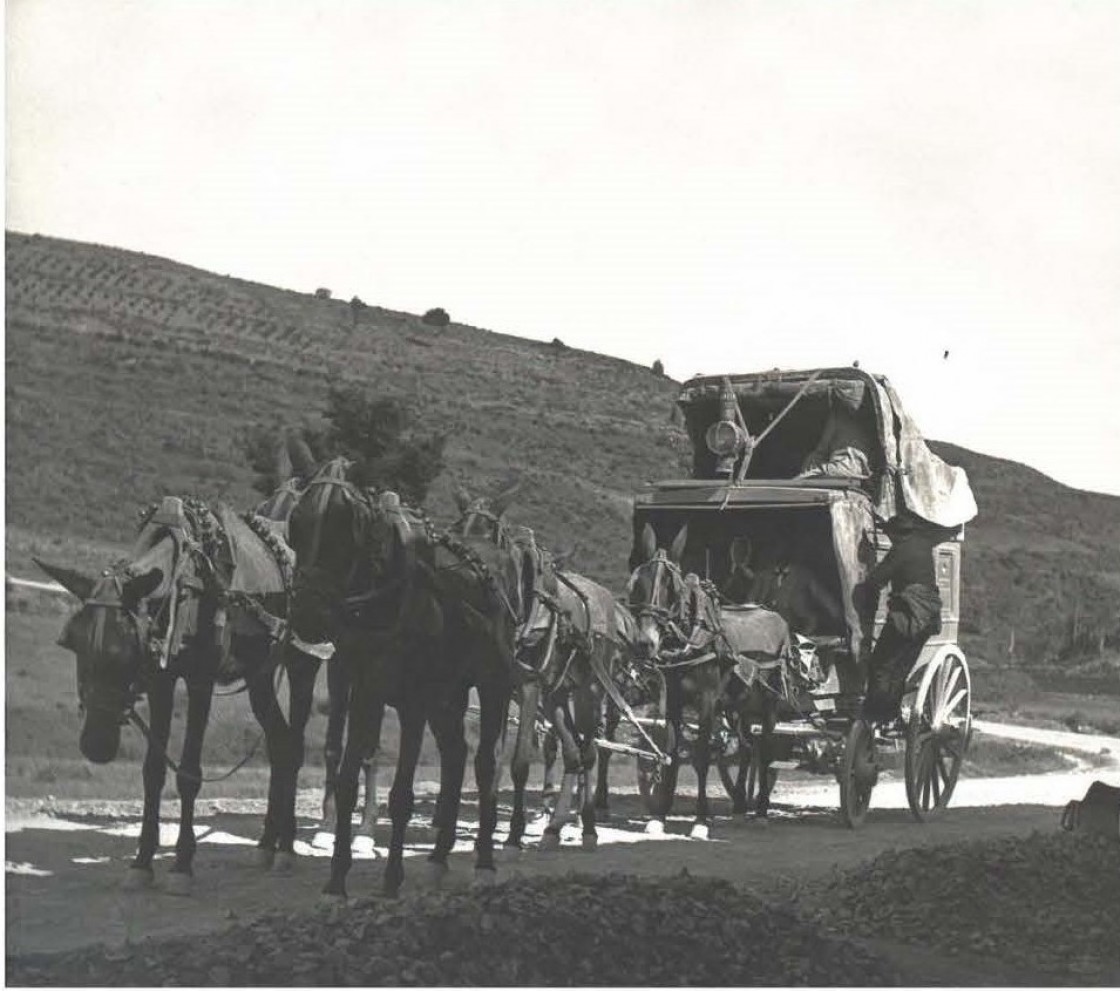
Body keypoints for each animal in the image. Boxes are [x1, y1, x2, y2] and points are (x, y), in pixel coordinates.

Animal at [35, 494, 322, 891]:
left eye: (125, 651)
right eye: (74, 644)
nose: (95, 745)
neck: (184, 585)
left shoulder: (200, 680)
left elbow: (188, 774)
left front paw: (182, 864)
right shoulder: (161, 679)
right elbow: (153, 771)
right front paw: (142, 861)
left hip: (301, 665)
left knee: (293, 746)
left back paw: (286, 848)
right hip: (260, 677)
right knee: (279, 746)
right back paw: (267, 843)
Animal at [622, 526, 788, 833]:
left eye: (672, 589)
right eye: (638, 584)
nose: (645, 643)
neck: (690, 639)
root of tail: (777, 616)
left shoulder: (707, 702)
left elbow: (701, 758)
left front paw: (700, 820)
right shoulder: (673, 701)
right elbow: (671, 754)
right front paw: (658, 817)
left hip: (770, 701)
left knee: (766, 750)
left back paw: (760, 810)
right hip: (739, 706)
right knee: (747, 748)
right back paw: (740, 806)